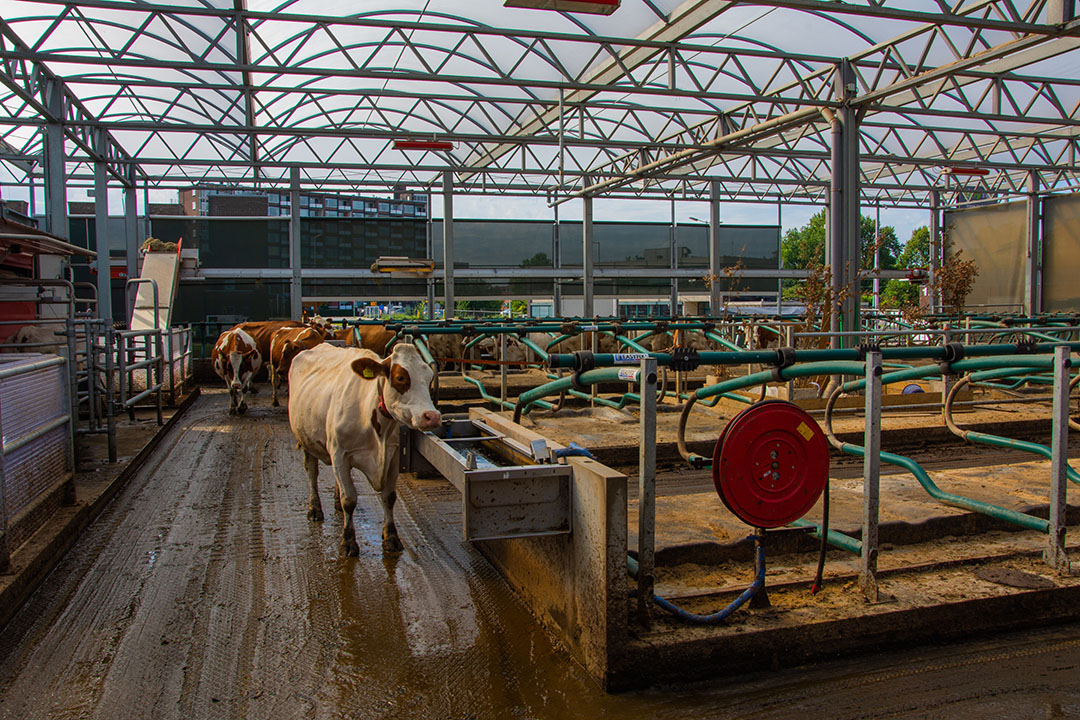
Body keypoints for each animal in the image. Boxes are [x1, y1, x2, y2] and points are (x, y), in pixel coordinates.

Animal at [289, 343, 440, 557]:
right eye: (400, 377)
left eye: (429, 378)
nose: (432, 416)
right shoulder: (340, 454)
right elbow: (349, 499)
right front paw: (348, 542)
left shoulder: (393, 456)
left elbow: (389, 497)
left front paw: (391, 538)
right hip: (305, 439)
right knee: (312, 473)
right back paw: (314, 509)